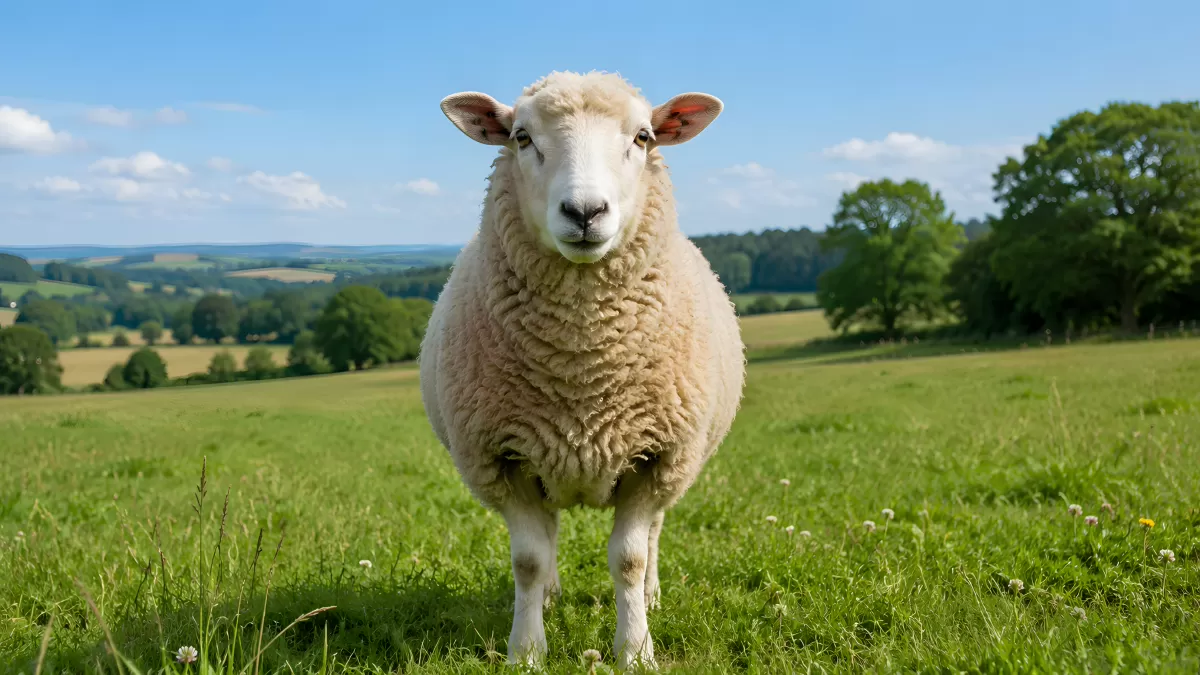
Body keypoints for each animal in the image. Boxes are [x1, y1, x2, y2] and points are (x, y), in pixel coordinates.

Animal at [419, 71, 745, 670]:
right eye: (521, 137)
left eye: (643, 137)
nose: (585, 212)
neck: (581, 367)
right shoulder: (505, 457)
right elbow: (526, 559)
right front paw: (526, 651)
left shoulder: (655, 456)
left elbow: (629, 559)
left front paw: (636, 650)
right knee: (547, 538)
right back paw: (548, 595)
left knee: (655, 534)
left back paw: (651, 596)